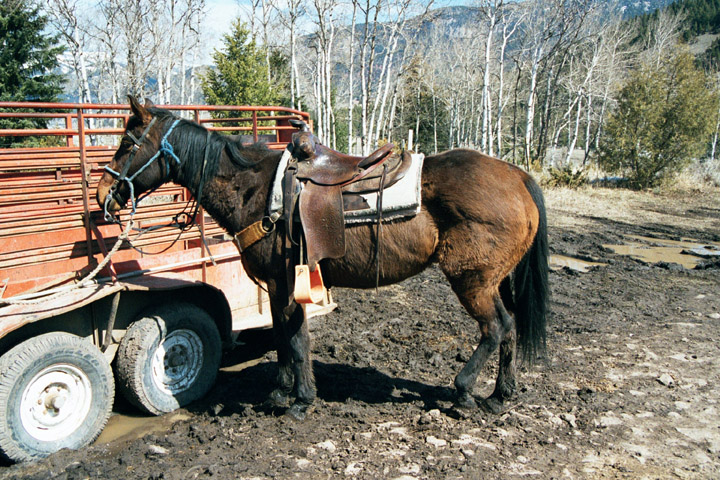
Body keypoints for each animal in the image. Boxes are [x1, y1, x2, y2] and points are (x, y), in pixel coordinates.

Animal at [95, 98, 544, 420]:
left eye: (127, 143)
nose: (102, 194)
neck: (255, 190)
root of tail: (517, 175)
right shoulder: (283, 284)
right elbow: (288, 336)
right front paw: (284, 392)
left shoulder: (282, 282)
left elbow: (292, 339)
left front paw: (298, 399)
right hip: (495, 280)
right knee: (511, 327)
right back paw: (499, 396)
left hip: (472, 279)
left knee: (496, 327)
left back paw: (465, 391)